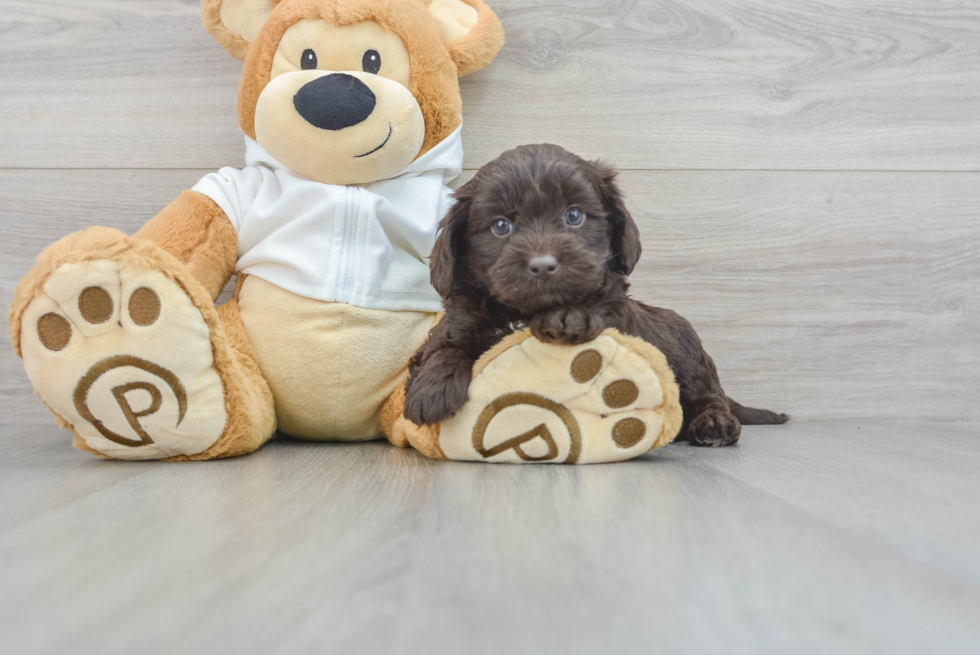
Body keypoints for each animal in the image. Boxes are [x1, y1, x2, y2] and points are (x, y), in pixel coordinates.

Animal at [402, 145, 784, 446]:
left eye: (574, 215)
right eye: (500, 226)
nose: (543, 265)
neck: (522, 312)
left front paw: (568, 316)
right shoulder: (457, 323)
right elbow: (443, 348)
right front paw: (431, 390)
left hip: (688, 356)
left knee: (709, 394)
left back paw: (714, 423)